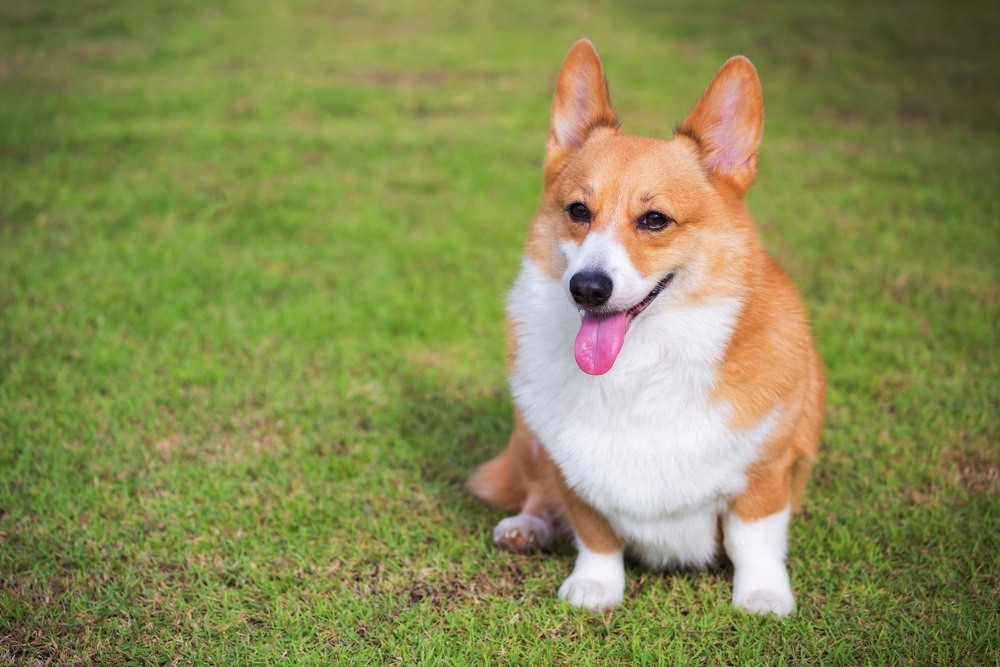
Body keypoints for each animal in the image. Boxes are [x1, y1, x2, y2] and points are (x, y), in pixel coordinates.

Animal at [466, 40, 820, 616]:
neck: (642, 364)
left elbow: (755, 539)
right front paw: (596, 587)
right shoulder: (573, 472)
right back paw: (526, 526)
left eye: (655, 220)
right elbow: (594, 533)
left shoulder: (766, 474)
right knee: (535, 490)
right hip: (529, 436)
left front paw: (763, 595)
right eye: (577, 210)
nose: (587, 288)